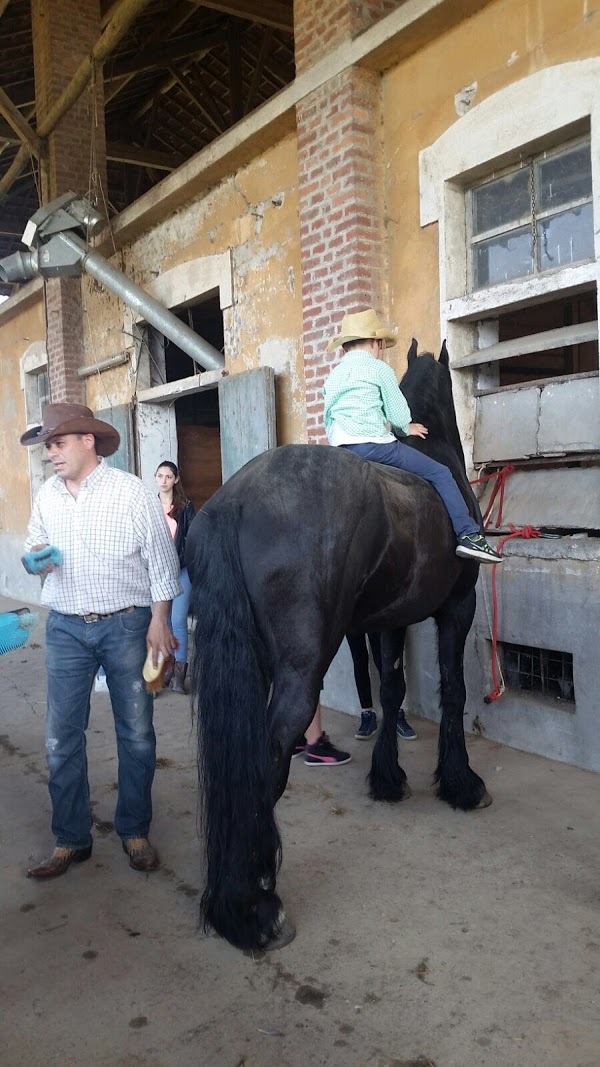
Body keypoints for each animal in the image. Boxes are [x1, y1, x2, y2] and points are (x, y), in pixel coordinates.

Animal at [186, 339, 491, 951]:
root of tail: (236, 499)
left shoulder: (389, 621)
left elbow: (392, 689)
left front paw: (389, 778)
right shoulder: (456, 609)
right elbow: (453, 689)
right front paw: (461, 782)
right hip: (304, 666)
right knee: (270, 757)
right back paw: (253, 908)